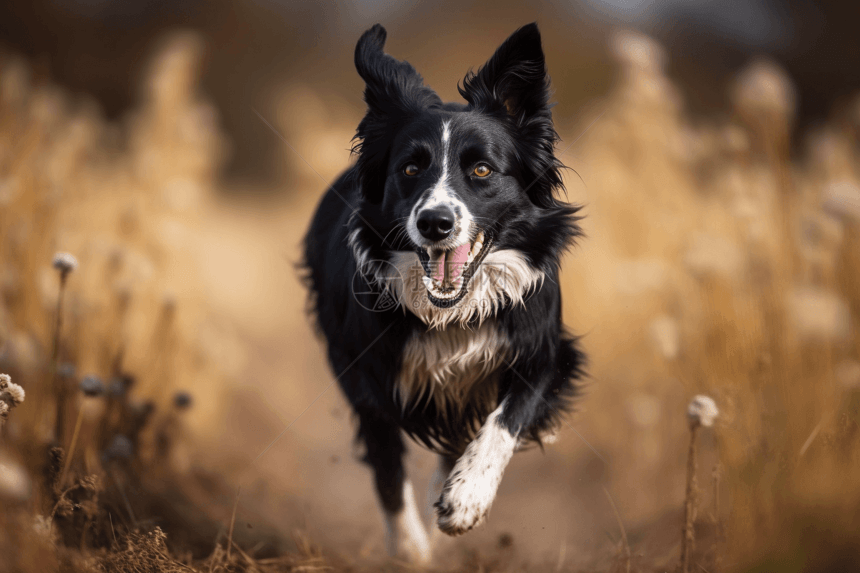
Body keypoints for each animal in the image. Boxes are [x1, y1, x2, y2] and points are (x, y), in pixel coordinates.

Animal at [302, 23, 584, 564]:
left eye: (482, 170)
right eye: (411, 169)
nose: (435, 223)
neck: (450, 314)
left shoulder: (546, 352)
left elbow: (506, 419)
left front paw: (466, 497)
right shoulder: (365, 375)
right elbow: (388, 470)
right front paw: (409, 549)